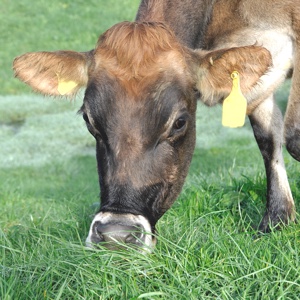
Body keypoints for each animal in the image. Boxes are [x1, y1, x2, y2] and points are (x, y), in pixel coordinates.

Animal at [12, 1, 298, 252]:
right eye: (88, 119)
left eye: (179, 122)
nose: (117, 235)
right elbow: (268, 139)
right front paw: (277, 220)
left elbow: (292, 138)